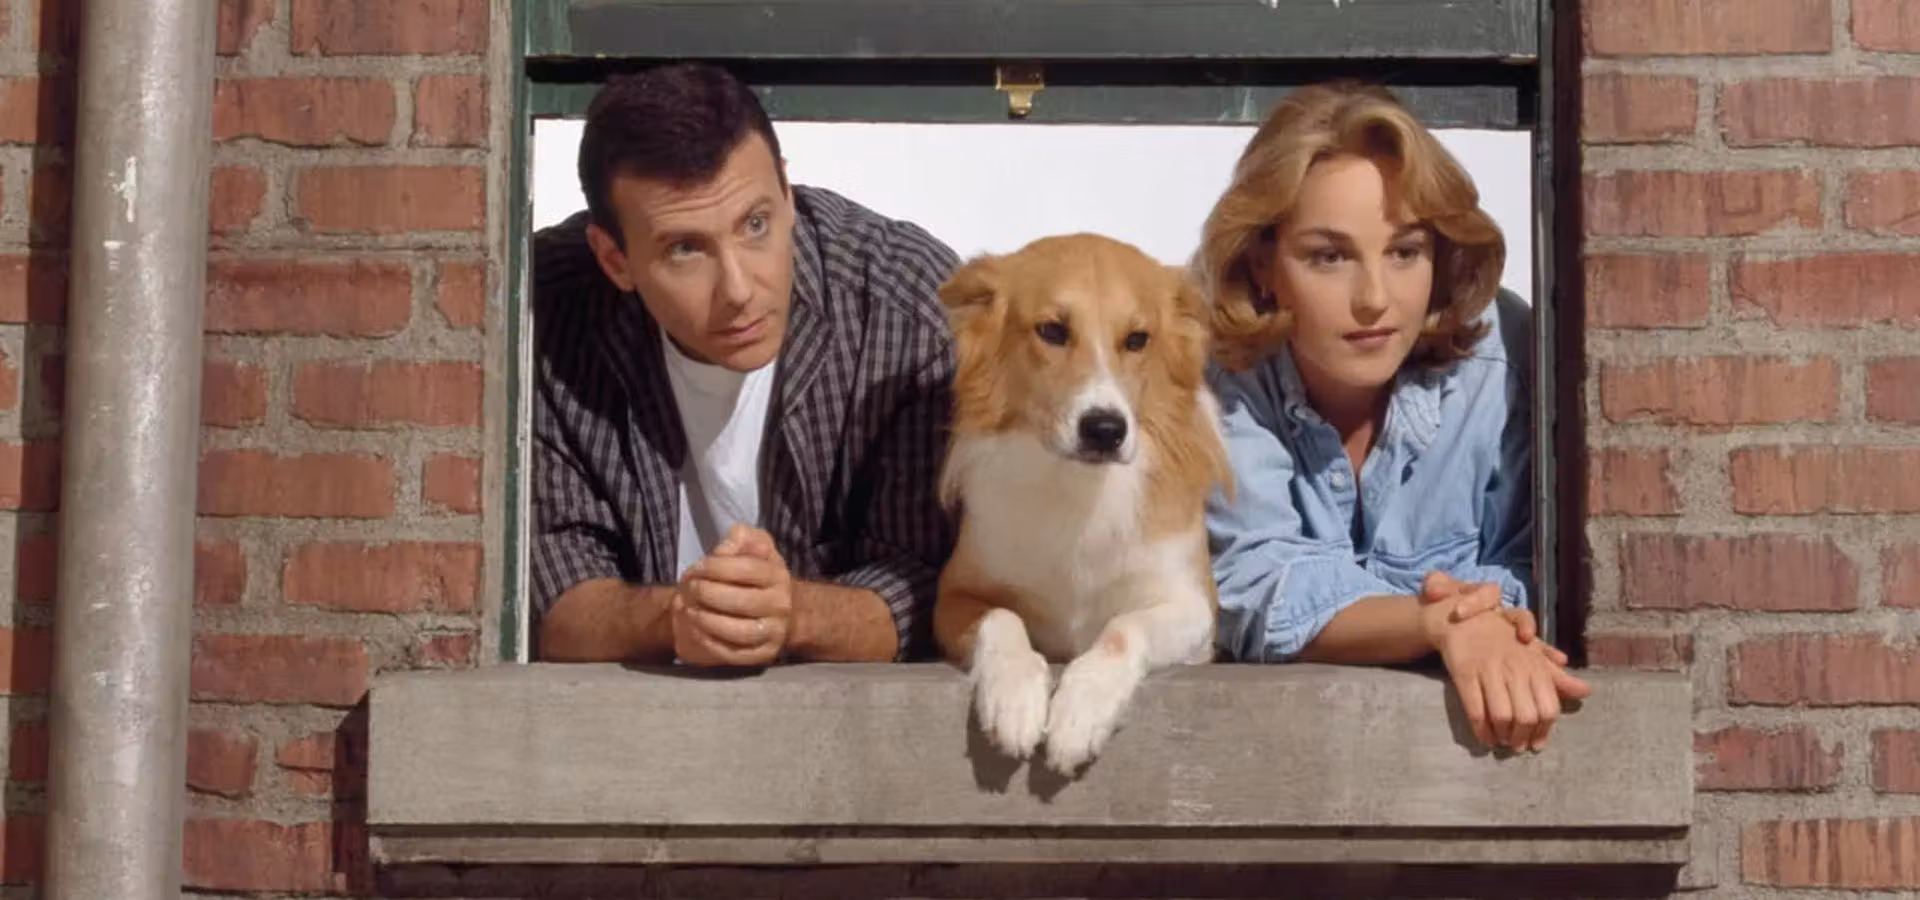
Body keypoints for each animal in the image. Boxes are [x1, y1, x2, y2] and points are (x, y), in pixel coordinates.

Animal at [931, 233, 1232, 776]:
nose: (1105, 430)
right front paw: (1014, 698)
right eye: (1052, 331)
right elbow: (1002, 618)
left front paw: (1080, 712)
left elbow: (1122, 628)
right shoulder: (953, 596)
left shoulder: (1194, 609)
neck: (1080, 487)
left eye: (1137, 339)